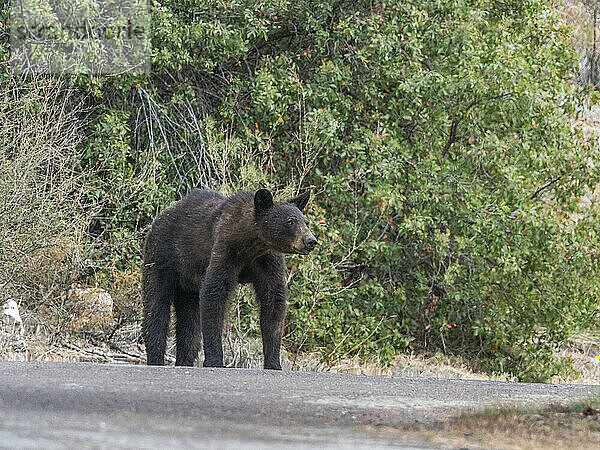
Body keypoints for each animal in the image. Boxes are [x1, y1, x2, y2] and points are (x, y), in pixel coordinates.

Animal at [141, 187, 318, 370]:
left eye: (306, 222)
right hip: (162, 259)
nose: (311, 241)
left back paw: (185, 361)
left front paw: (274, 363)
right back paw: (155, 358)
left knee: (190, 321)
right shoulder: (226, 250)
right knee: (156, 306)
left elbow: (274, 300)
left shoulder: (267, 261)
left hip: (188, 282)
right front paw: (214, 360)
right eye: (290, 221)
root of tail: (160, 216)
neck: (252, 244)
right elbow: (215, 292)